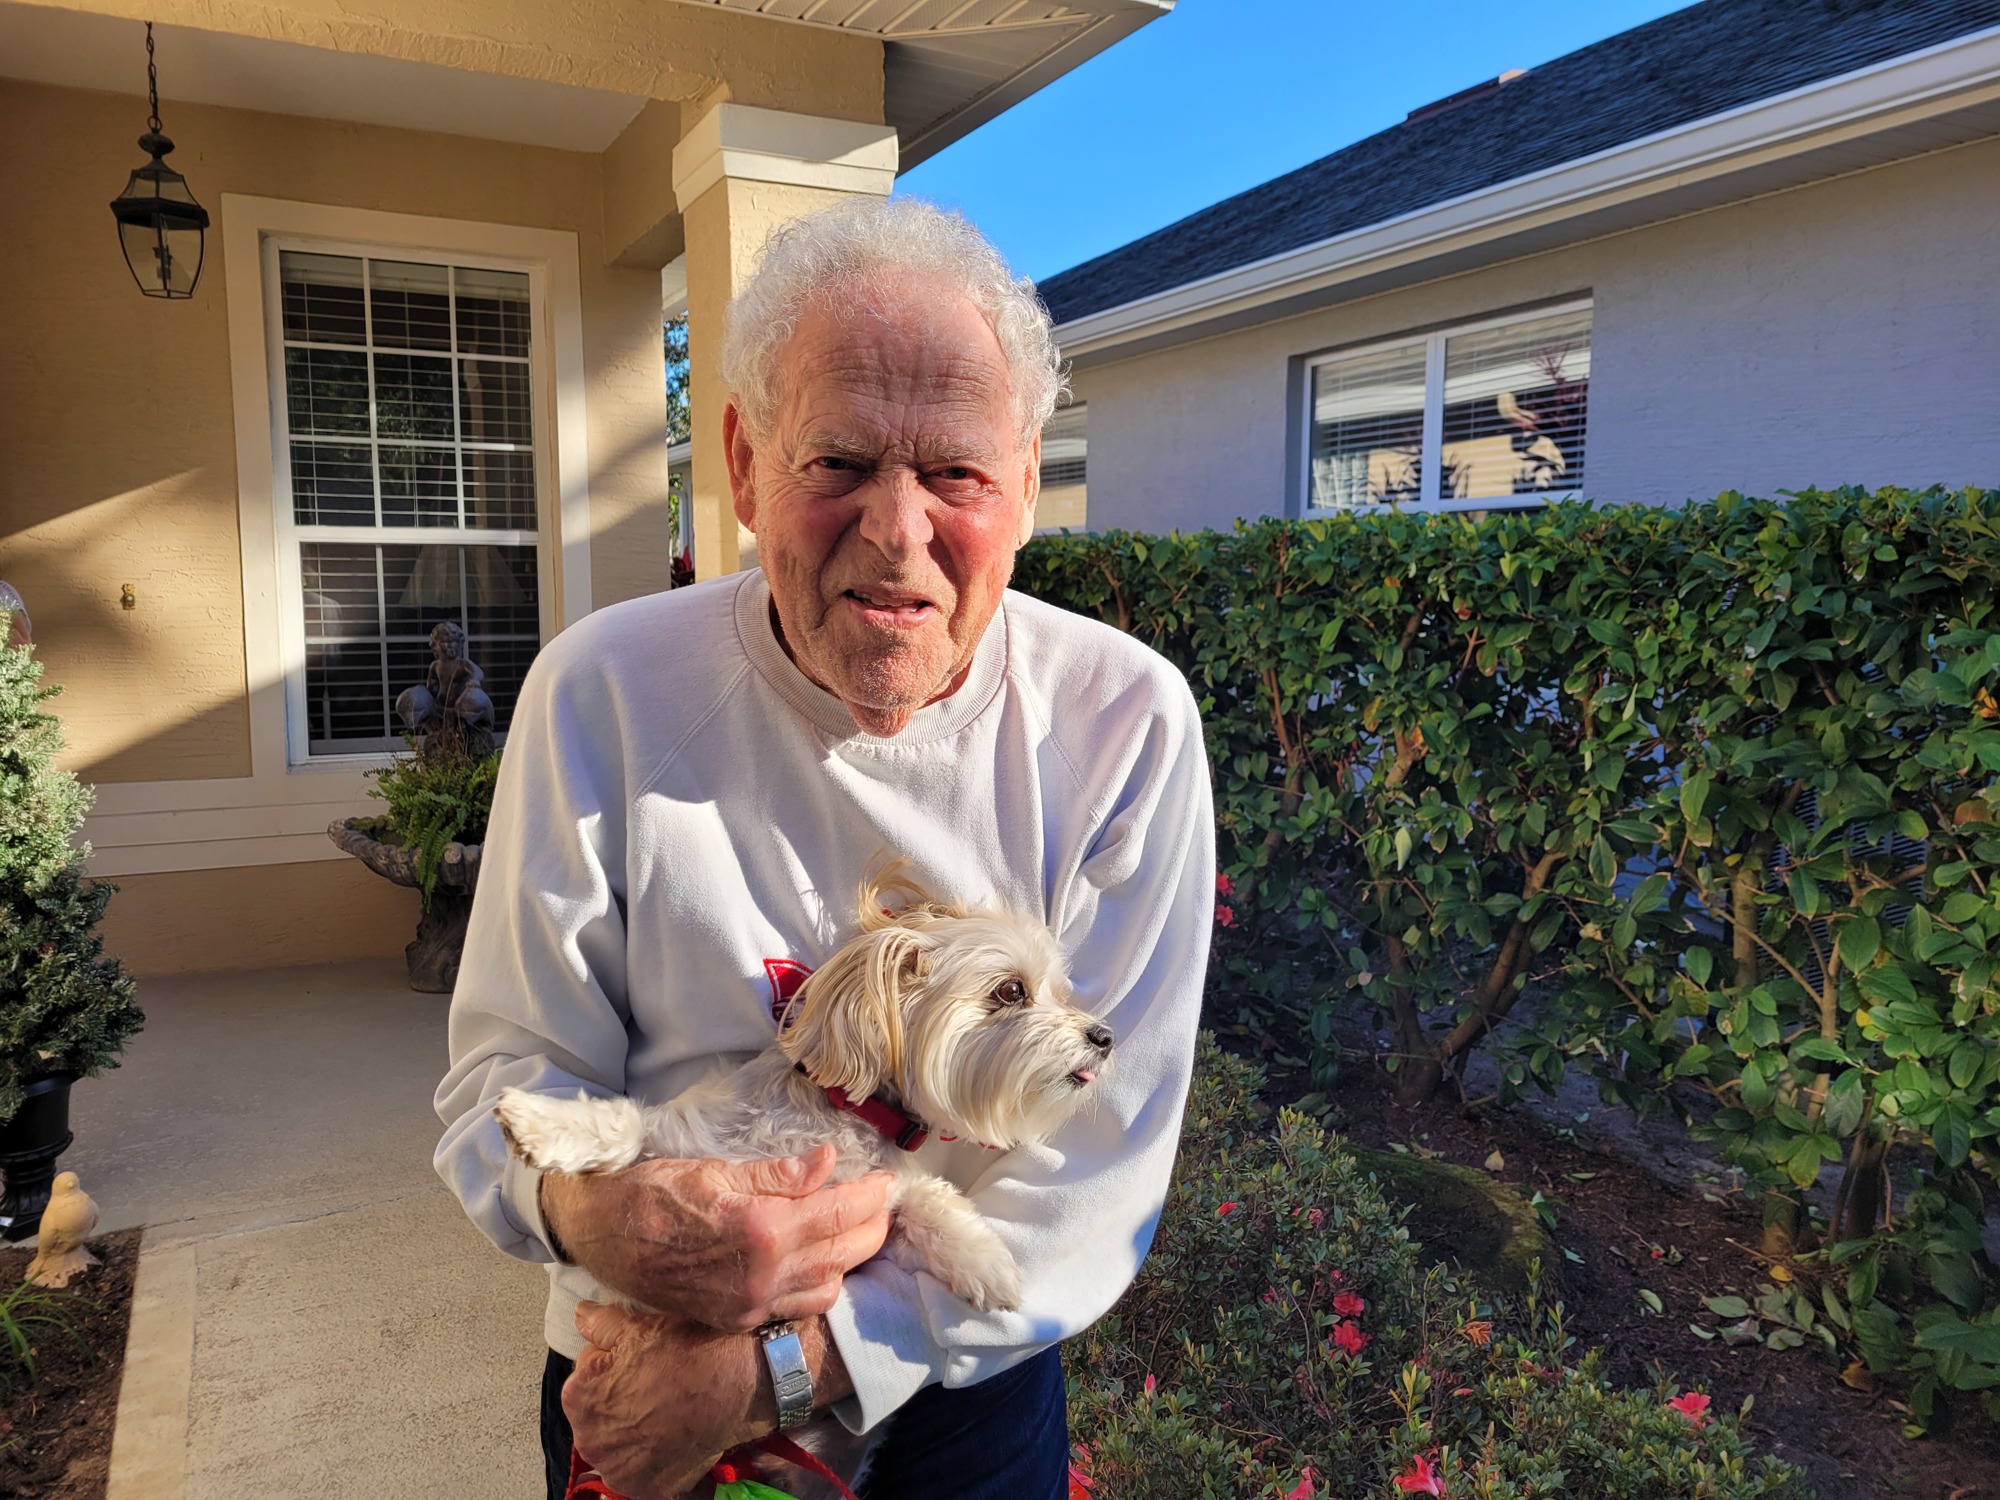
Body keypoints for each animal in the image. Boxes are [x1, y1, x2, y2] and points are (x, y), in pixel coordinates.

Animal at [484, 868, 1112, 1500]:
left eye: (1059, 993)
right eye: (1010, 991)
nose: (1104, 1036)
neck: (834, 1117)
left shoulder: (872, 1211)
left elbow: (928, 1199)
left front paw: (982, 1259)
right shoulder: (683, 1148)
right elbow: (629, 1124)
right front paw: (541, 1123)